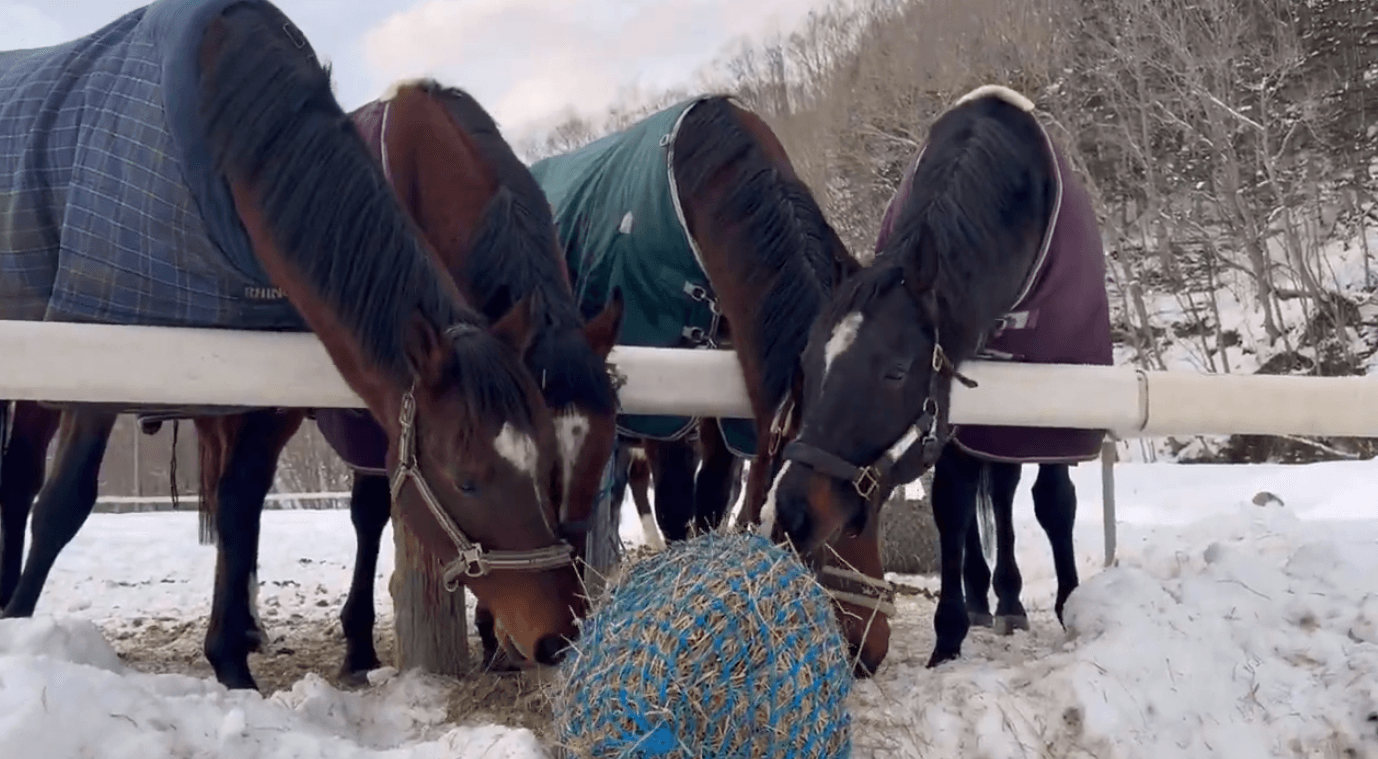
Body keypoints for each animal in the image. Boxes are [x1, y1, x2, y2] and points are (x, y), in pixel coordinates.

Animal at [0, 0, 581, 691]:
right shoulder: (102, 357)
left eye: (546, 463)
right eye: (466, 481)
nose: (557, 636)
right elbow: (63, 504)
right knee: (19, 480)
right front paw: (19, 628)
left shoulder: (265, 390)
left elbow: (242, 504)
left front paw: (232, 661)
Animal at [767, 84, 1112, 670]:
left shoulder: (1062, 404)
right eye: (808, 364)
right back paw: (989, 599)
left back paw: (1010, 601)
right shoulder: (951, 412)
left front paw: (1072, 606)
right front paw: (949, 636)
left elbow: (1054, 501)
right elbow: (952, 507)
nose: (793, 510)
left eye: (895, 371)